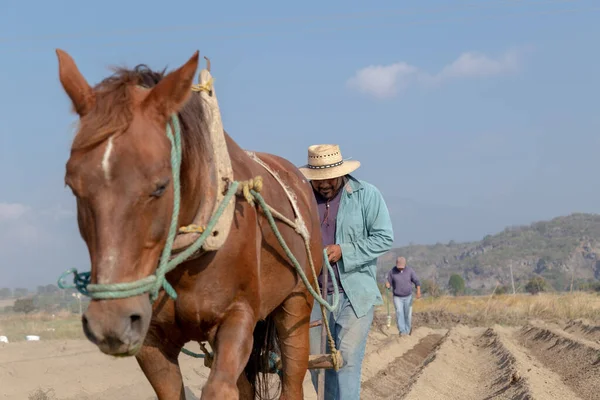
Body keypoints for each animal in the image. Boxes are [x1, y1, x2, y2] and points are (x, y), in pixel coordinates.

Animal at [56, 50, 326, 400]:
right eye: (72, 185)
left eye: (160, 185)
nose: (110, 321)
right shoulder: (151, 341)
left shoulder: (238, 317)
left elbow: (219, 390)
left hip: (296, 305)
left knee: (293, 379)